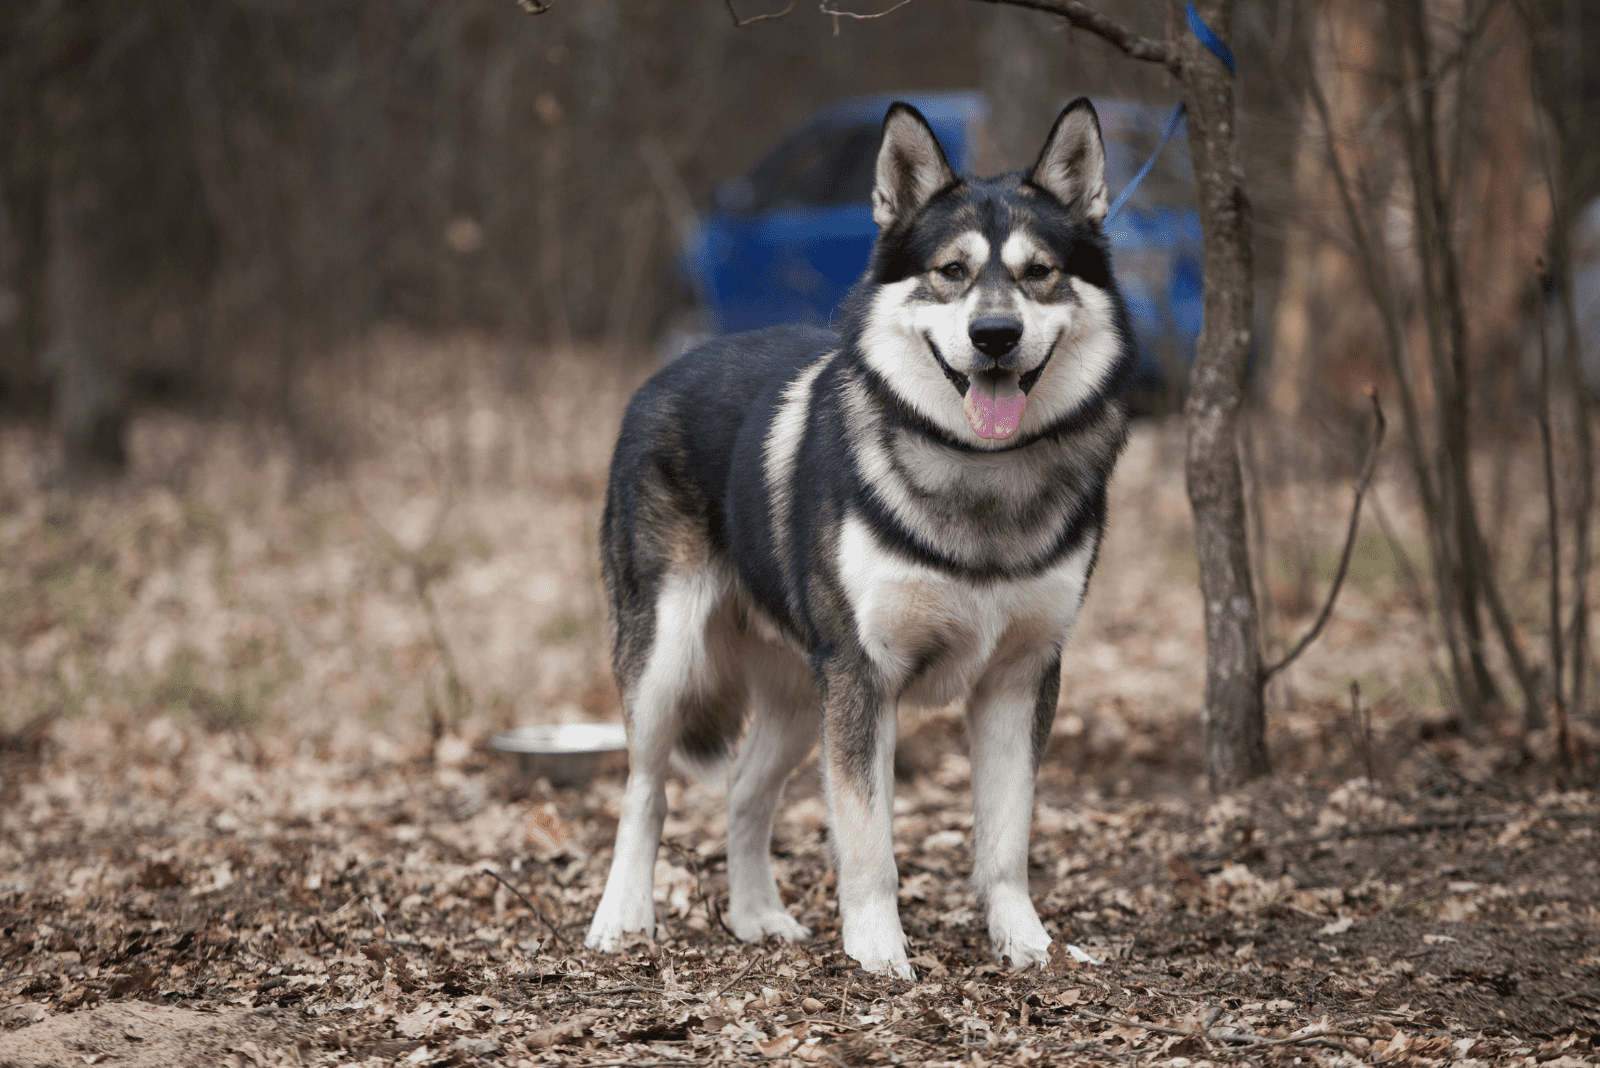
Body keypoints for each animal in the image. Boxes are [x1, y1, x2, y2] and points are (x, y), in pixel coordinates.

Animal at [592, 99, 1139, 978]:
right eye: (951, 271)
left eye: (1038, 272)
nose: (994, 334)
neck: (978, 474)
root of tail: (668, 368)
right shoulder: (863, 678)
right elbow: (868, 841)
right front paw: (879, 952)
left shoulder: (1020, 679)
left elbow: (1007, 840)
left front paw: (1025, 943)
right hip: (667, 666)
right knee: (647, 790)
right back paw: (622, 918)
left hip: (793, 696)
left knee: (744, 793)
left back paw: (757, 917)